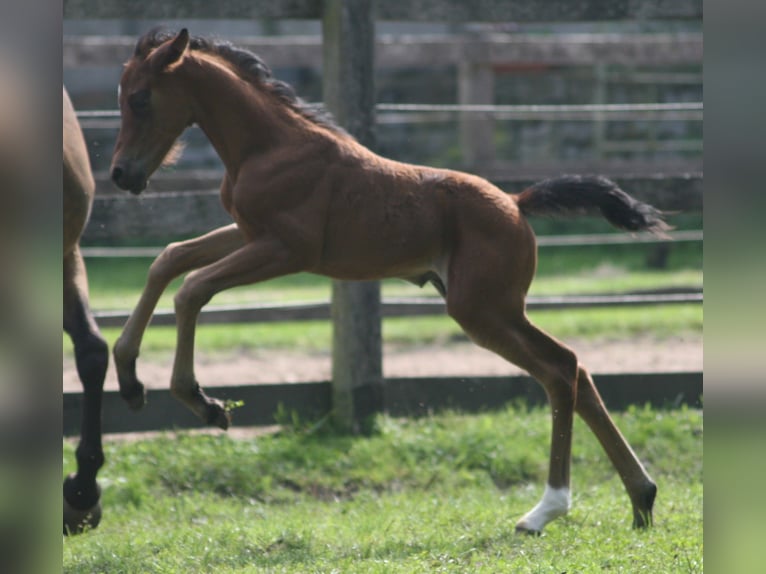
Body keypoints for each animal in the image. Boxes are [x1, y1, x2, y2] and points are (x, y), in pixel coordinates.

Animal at [111, 30, 668, 536]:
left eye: (140, 98)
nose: (120, 175)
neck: (268, 147)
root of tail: (515, 202)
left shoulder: (286, 249)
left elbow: (193, 287)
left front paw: (203, 402)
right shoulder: (248, 234)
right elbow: (169, 259)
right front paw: (129, 379)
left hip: (482, 309)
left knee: (559, 369)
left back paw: (545, 511)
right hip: (492, 307)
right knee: (577, 371)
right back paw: (640, 499)